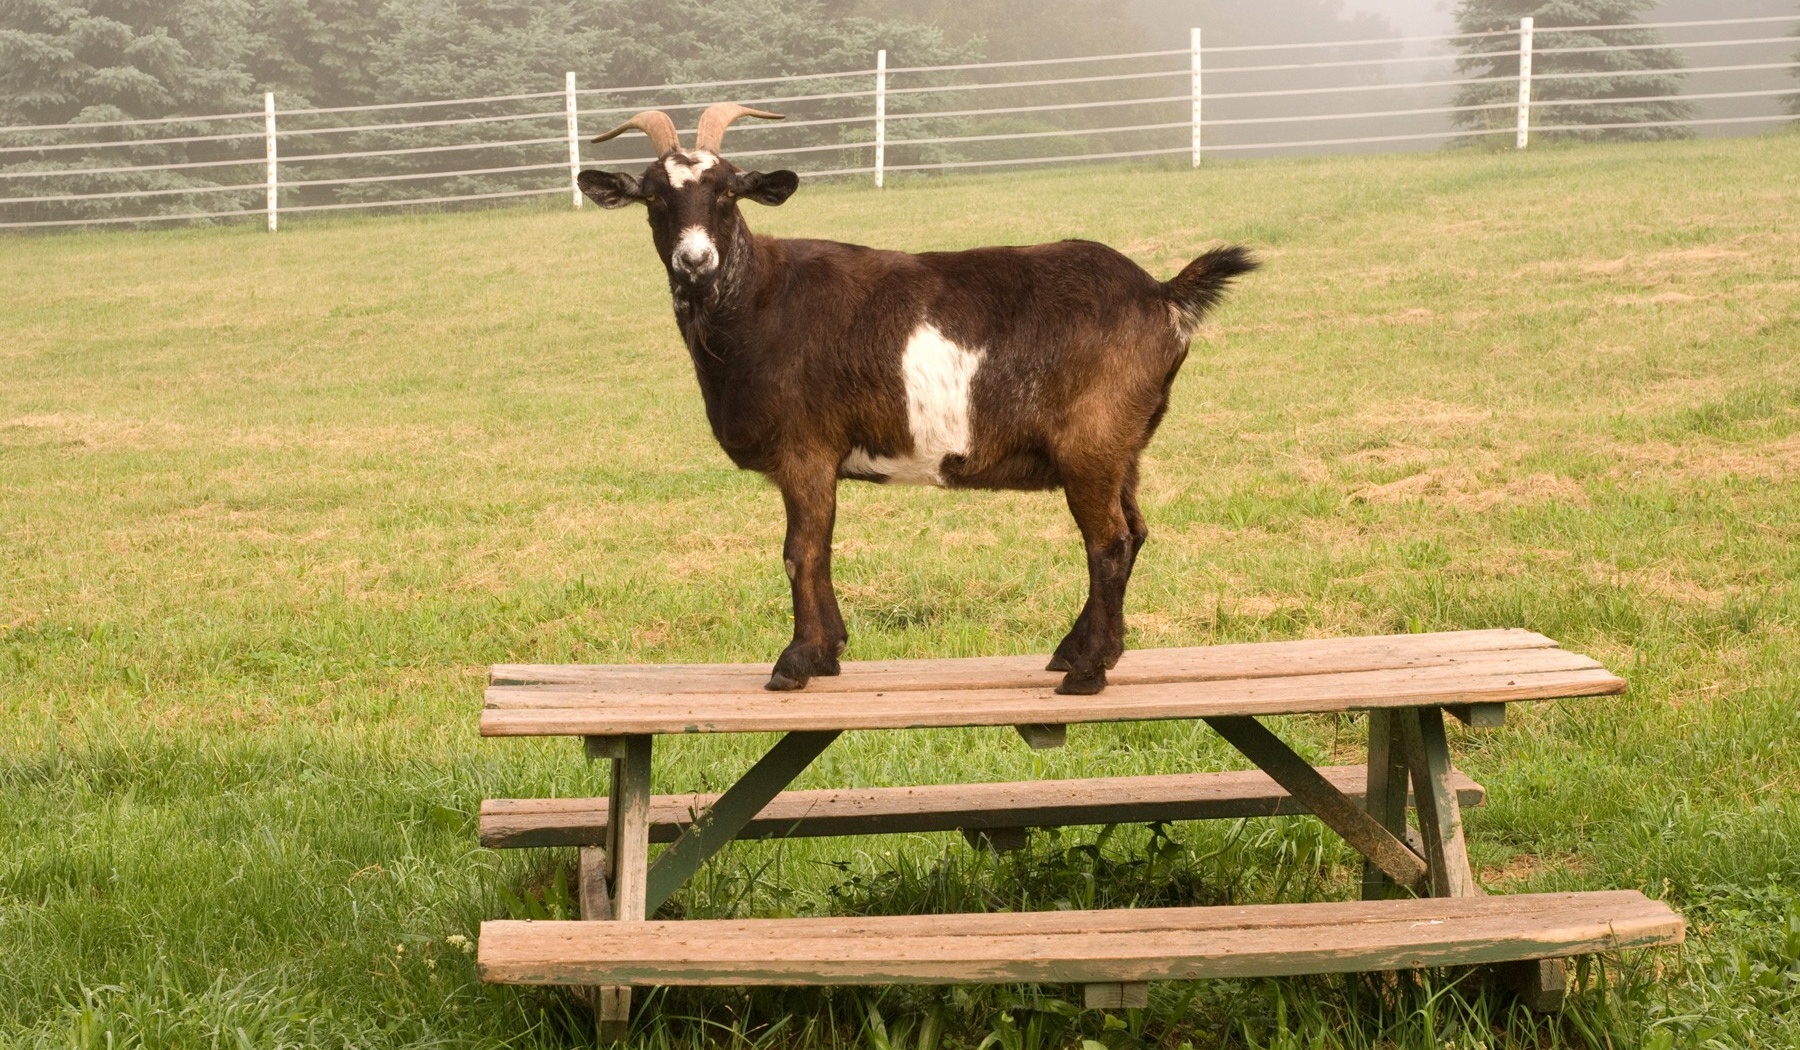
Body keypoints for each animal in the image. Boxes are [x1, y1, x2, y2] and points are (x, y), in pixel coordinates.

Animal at [578, 103, 1256, 695]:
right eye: (653, 197)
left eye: (727, 192)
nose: (695, 261)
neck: (757, 301)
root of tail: (1163, 294)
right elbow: (822, 548)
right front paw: (830, 653)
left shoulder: (805, 449)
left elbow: (801, 552)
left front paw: (795, 662)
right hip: (1125, 447)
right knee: (1134, 532)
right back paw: (1082, 652)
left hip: (1091, 441)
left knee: (1109, 542)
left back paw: (1086, 673)